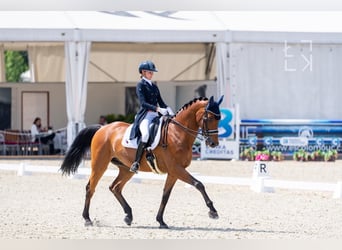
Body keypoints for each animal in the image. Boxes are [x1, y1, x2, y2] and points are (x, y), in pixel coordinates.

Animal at [59, 95, 223, 229]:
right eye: (209, 118)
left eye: (219, 118)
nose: (214, 144)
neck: (177, 133)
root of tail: (102, 128)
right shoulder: (176, 169)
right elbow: (199, 184)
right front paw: (213, 212)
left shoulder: (174, 172)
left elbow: (165, 195)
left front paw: (161, 221)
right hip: (100, 164)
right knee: (90, 188)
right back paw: (87, 219)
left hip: (126, 169)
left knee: (115, 187)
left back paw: (128, 216)